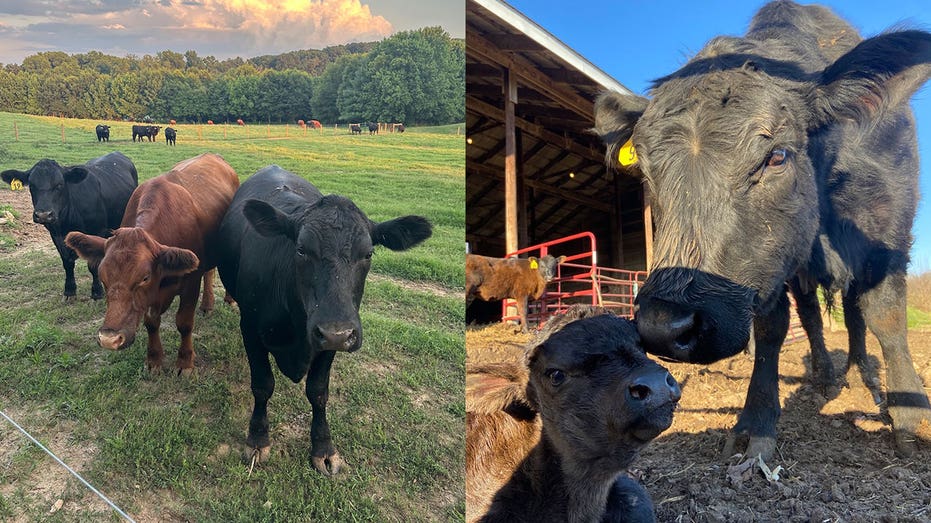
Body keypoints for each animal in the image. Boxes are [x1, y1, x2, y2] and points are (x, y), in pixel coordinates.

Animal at [0, 151, 138, 298]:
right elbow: (67, 262)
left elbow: (93, 264)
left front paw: (97, 291)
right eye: (31, 186)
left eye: (59, 185)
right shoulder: (56, 235)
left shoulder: (97, 231)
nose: (43, 214)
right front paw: (70, 290)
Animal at [65, 154, 240, 374]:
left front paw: (185, 362)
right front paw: (154, 359)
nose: (109, 339)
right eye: (103, 277)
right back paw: (207, 305)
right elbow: (151, 323)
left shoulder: (190, 282)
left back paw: (228, 299)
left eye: (145, 277)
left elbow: (184, 323)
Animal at [217, 166, 436, 476]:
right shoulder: (250, 328)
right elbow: (262, 385)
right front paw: (257, 439)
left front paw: (323, 448)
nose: (336, 332)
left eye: (368, 253)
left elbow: (318, 392)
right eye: (301, 249)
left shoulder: (331, 340)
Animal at [596, 0, 931, 458]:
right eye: (645, 171)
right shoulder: (771, 264)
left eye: (777, 156)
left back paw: (863, 376)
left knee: (854, 316)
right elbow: (772, 329)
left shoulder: (888, 232)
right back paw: (826, 375)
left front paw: (910, 415)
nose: (664, 326)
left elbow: (886, 315)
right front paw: (756, 423)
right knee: (812, 317)